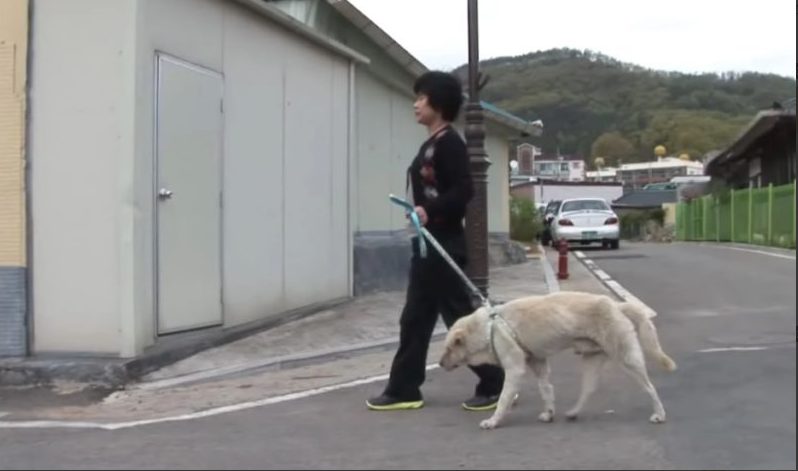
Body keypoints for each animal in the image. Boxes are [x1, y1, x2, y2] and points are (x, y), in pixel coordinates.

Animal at [440, 292, 680, 432]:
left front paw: (494, 420)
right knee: (589, 389)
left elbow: (503, 399)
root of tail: (616, 306)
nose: (441, 363)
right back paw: (573, 412)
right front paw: (549, 413)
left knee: (649, 387)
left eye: (448, 348)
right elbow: (546, 389)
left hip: (627, 358)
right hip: (591, 360)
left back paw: (659, 414)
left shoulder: (515, 369)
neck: (488, 327)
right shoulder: (538, 362)